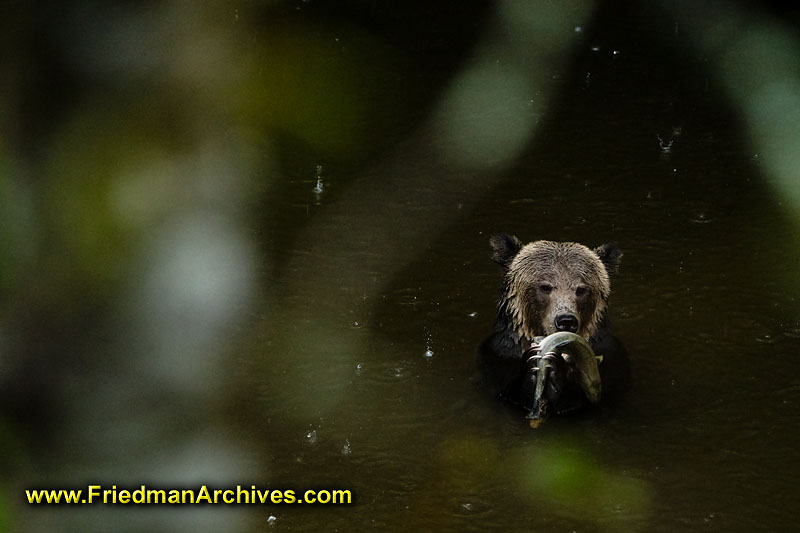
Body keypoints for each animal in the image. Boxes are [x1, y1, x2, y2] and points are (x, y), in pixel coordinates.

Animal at [478, 234, 628, 416]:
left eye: (581, 289)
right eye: (545, 287)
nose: (566, 320)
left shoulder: (612, 355)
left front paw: (557, 368)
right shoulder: (498, 354)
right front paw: (531, 366)